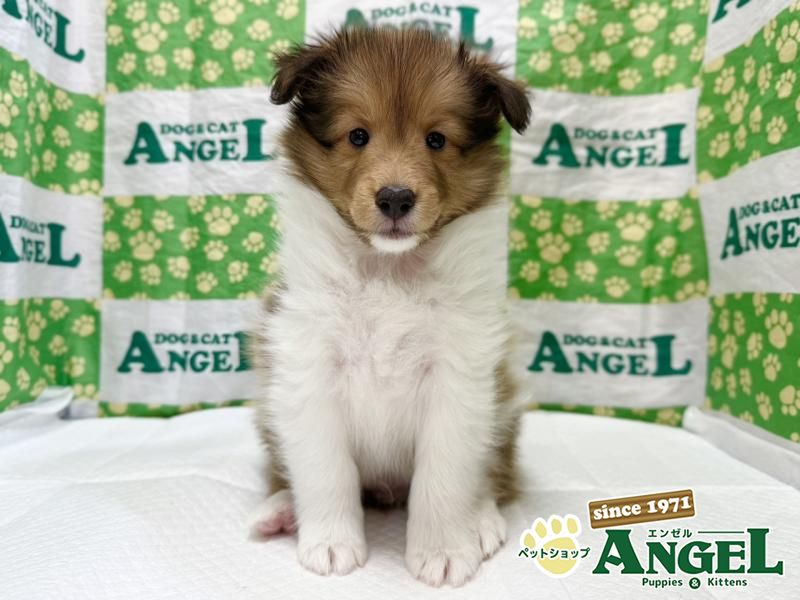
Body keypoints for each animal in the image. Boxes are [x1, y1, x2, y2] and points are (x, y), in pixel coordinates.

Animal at [250, 27, 531, 587]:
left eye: (436, 140)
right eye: (358, 136)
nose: (396, 198)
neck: (388, 271)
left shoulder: (458, 377)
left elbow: (442, 477)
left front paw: (443, 552)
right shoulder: (307, 368)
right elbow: (326, 469)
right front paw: (332, 544)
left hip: (502, 410)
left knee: (493, 475)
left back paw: (480, 522)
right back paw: (280, 510)